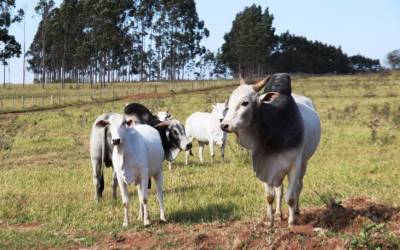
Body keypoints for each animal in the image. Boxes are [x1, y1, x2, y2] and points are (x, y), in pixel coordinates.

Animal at [220, 73, 320, 227]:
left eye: (245, 103)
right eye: (229, 103)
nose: (224, 125)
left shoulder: (294, 165)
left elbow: (290, 197)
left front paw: (291, 222)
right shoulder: (265, 165)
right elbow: (270, 196)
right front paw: (270, 220)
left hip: (304, 163)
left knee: (299, 186)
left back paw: (296, 211)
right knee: (280, 189)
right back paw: (278, 213)